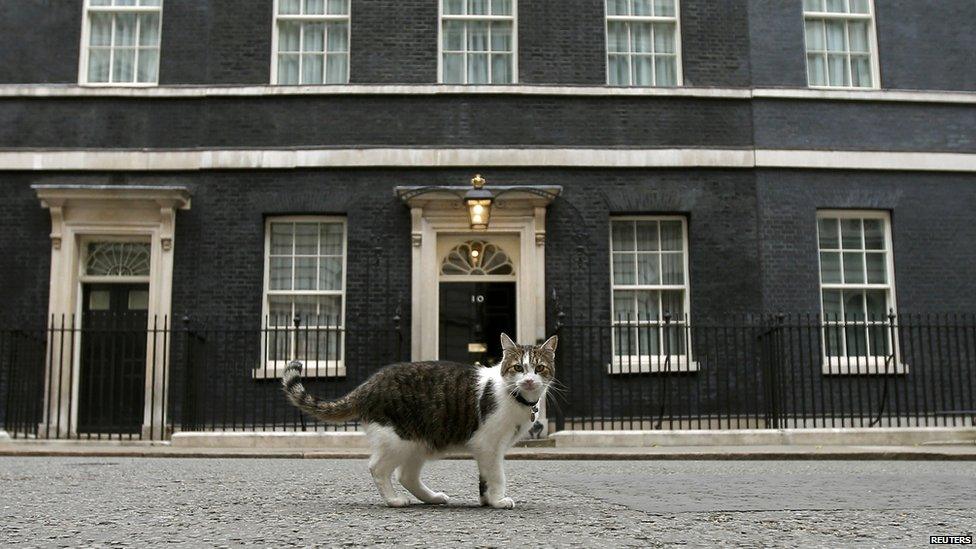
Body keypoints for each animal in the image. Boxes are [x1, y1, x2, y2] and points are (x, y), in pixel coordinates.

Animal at [282, 332, 556, 508]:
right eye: (517, 368)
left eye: (539, 368)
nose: (529, 380)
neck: (515, 396)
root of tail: (368, 385)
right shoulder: (488, 444)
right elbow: (497, 475)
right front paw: (499, 500)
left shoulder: (488, 448)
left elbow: (486, 476)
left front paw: (487, 500)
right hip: (398, 438)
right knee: (378, 468)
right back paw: (394, 500)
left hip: (419, 442)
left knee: (406, 476)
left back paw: (432, 498)